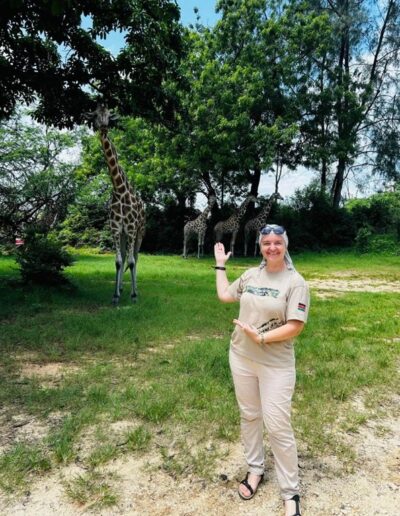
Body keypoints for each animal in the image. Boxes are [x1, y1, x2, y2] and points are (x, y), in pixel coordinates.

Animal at [91, 104, 146, 305]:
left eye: (109, 114)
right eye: (96, 115)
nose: (104, 126)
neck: (119, 188)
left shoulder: (130, 227)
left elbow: (130, 261)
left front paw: (134, 295)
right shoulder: (115, 227)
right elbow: (118, 261)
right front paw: (115, 296)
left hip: (139, 231)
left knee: (135, 257)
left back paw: (134, 291)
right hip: (124, 234)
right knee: (125, 256)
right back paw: (121, 288)